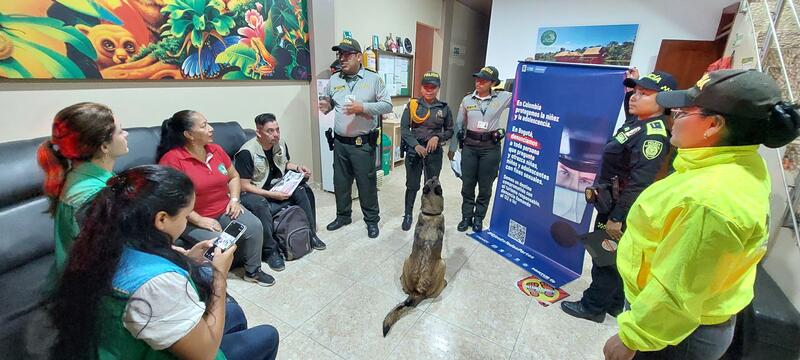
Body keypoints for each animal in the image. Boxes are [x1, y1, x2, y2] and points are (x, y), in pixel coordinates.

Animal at [382, 176, 446, 336]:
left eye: (431, 181)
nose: (434, 176)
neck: (430, 214)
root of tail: (418, 292)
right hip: (443, 264)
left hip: (406, 260)